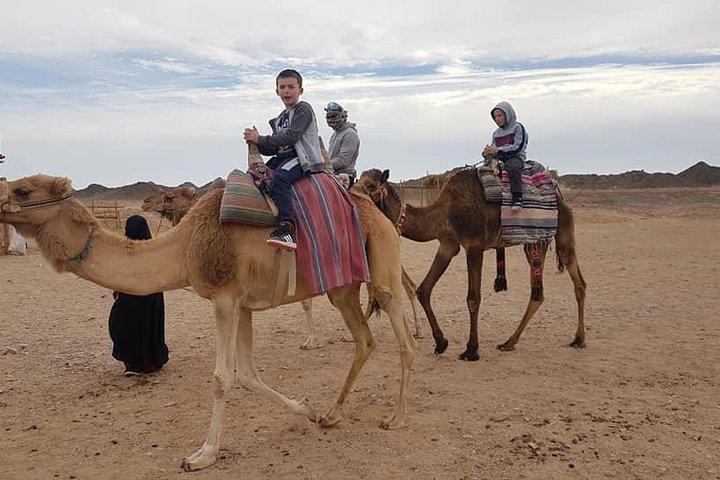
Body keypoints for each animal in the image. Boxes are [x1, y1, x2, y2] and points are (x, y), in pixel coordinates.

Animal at [0, 172, 415, 471]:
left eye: (22, 189)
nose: (0, 202)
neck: (184, 247)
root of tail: (376, 211)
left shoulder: (225, 299)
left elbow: (221, 378)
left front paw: (202, 455)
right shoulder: (243, 304)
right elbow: (248, 375)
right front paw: (307, 410)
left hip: (381, 260)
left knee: (401, 329)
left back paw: (395, 418)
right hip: (343, 287)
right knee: (365, 340)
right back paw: (332, 414)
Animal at [356, 168, 587, 361]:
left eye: (371, 185)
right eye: (358, 179)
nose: (353, 196)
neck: (445, 211)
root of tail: (562, 199)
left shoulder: (474, 246)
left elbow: (473, 298)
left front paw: (471, 350)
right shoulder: (448, 245)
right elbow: (424, 289)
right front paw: (441, 343)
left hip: (546, 238)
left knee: (544, 288)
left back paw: (511, 341)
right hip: (546, 240)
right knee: (575, 285)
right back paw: (576, 339)